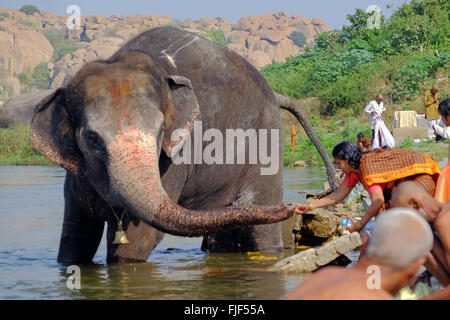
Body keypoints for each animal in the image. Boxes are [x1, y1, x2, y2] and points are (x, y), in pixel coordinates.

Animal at [30, 26, 338, 262]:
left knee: (260, 225)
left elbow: (140, 238)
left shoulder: (175, 158)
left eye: (159, 132)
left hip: (267, 137)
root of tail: (275, 93)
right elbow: (75, 236)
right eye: (92, 138)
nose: (292, 206)